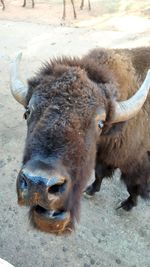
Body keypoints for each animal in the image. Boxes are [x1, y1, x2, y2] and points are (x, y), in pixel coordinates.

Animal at [10, 47, 150, 234]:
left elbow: (133, 186)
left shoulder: (135, 163)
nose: (38, 184)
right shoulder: (101, 158)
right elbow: (99, 173)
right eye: (27, 112)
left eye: (100, 122)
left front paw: (127, 205)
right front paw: (91, 190)